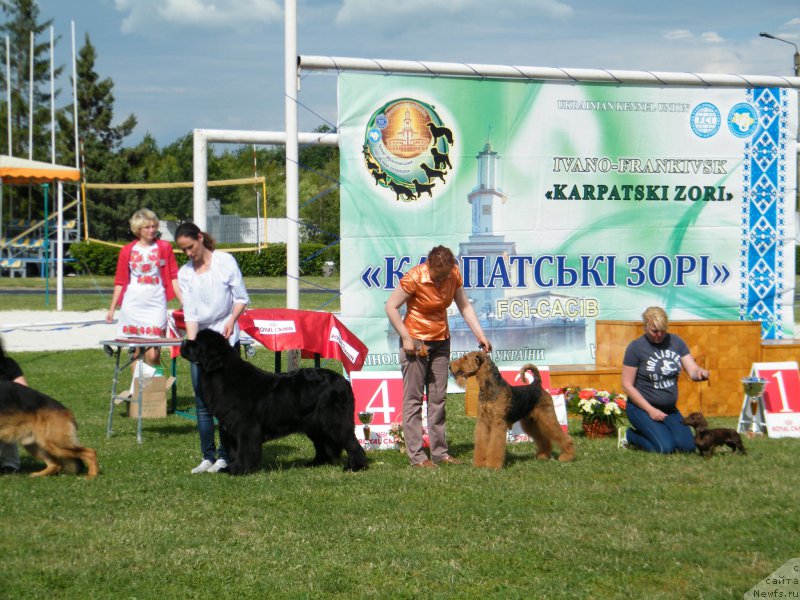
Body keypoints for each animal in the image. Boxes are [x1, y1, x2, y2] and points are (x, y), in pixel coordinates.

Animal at [180, 328, 368, 474]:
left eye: (197, 343)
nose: (183, 342)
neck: (222, 374)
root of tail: (343, 381)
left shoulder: (246, 427)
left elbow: (244, 450)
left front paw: (241, 470)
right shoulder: (230, 428)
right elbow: (233, 451)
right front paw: (230, 469)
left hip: (333, 421)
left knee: (351, 442)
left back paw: (356, 466)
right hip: (314, 424)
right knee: (322, 444)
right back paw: (315, 463)